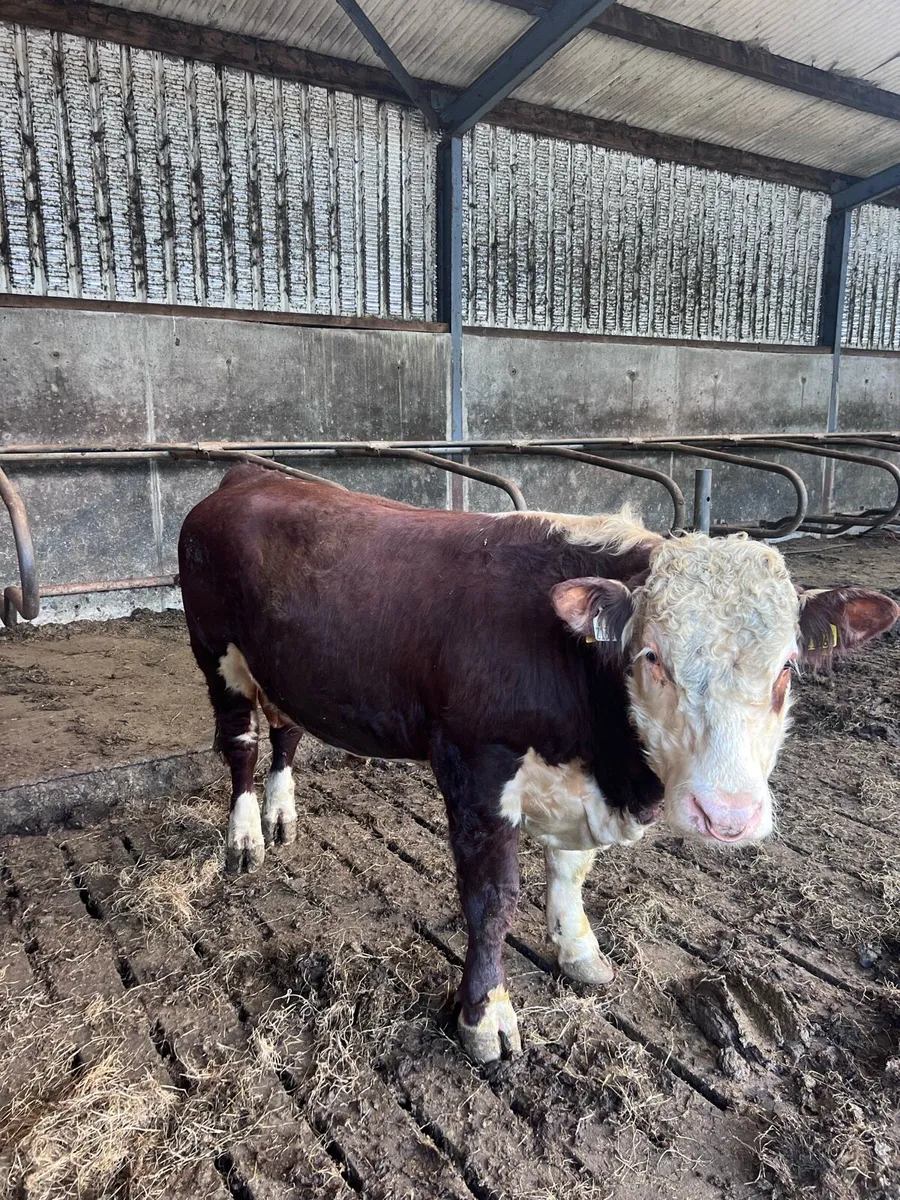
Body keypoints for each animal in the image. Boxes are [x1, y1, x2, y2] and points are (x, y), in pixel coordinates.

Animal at [178, 465, 898, 1062]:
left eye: (787, 667)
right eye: (652, 656)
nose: (727, 814)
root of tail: (248, 475)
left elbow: (572, 872)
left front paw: (579, 951)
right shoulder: (474, 766)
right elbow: (492, 899)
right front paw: (485, 1016)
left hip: (284, 669)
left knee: (286, 733)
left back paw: (281, 817)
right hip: (217, 654)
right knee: (241, 745)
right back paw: (244, 838)